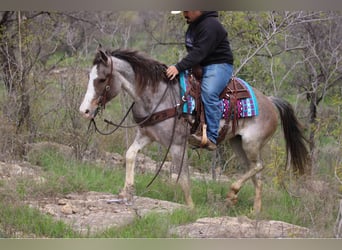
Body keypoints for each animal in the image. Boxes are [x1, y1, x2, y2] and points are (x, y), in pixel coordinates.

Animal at [79, 47, 308, 213]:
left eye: (101, 79)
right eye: (90, 77)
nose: (85, 111)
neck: (157, 95)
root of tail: (269, 100)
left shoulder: (177, 144)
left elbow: (181, 176)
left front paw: (189, 206)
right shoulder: (146, 136)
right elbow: (130, 155)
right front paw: (126, 192)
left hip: (251, 143)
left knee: (259, 166)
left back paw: (233, 194)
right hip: (238, 143)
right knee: (256, 174)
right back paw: (253, 211)